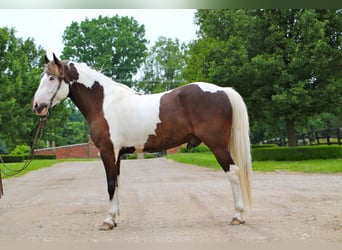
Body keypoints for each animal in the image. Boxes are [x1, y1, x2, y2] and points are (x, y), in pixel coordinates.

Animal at [31, 54, 251, 230]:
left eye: (51, 78)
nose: (37, 106)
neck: (104, 103)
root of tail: (223, 90)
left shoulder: (108, 152)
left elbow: (110, 184)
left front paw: (108, 221)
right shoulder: (117, 155)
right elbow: (117, 183)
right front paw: (115, 218)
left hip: (218, 146)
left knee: (233, 173)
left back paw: (237, 216)